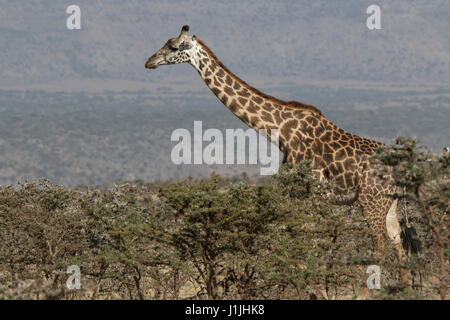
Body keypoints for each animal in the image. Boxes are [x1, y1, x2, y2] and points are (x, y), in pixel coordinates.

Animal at [145, 25, 404, 252]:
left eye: (173, 46)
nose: (149, 62)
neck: (280, 131)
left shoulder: (308, 195)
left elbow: (304, 244)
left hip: (371, 202)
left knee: (380, 247)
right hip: (389, 203)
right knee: (398, 242)